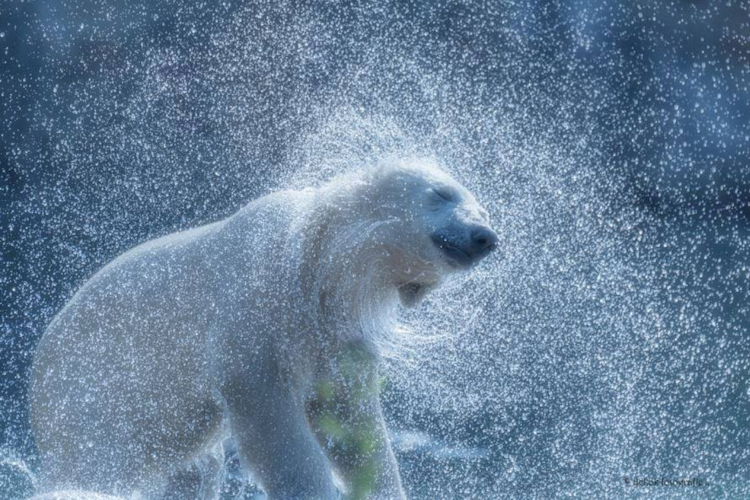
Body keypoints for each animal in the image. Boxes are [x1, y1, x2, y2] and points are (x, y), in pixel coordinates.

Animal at [29, 158, 498, 499]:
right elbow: (271, 417)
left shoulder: (333, 331)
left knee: (194, 469)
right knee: (101, 459)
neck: (313, 264)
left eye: (484, 207)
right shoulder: (256, 306)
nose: (486, 237)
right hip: (94, 389)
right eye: (441, 193)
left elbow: (349, 418)